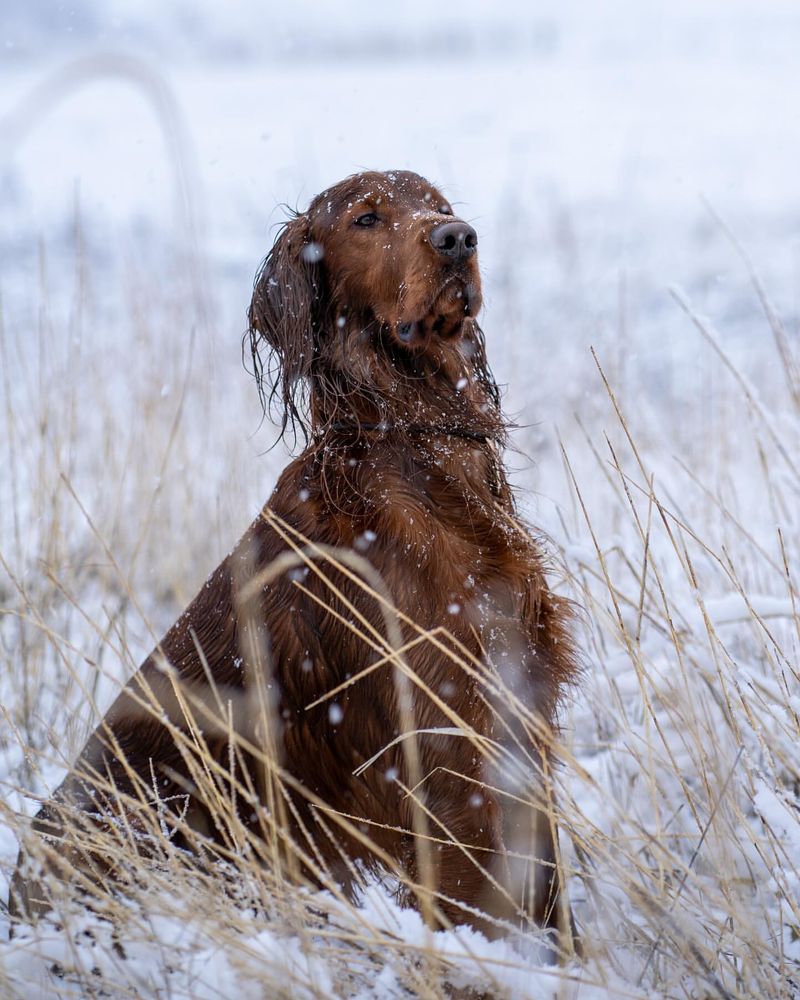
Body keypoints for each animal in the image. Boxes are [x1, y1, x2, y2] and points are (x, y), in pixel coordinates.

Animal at [9, 168, 580, 948]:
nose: (458, 237)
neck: (415, 445)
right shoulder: (448, 746)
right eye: (367, 219)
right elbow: (477, 904)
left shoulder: (521, 712)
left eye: (438, 203)